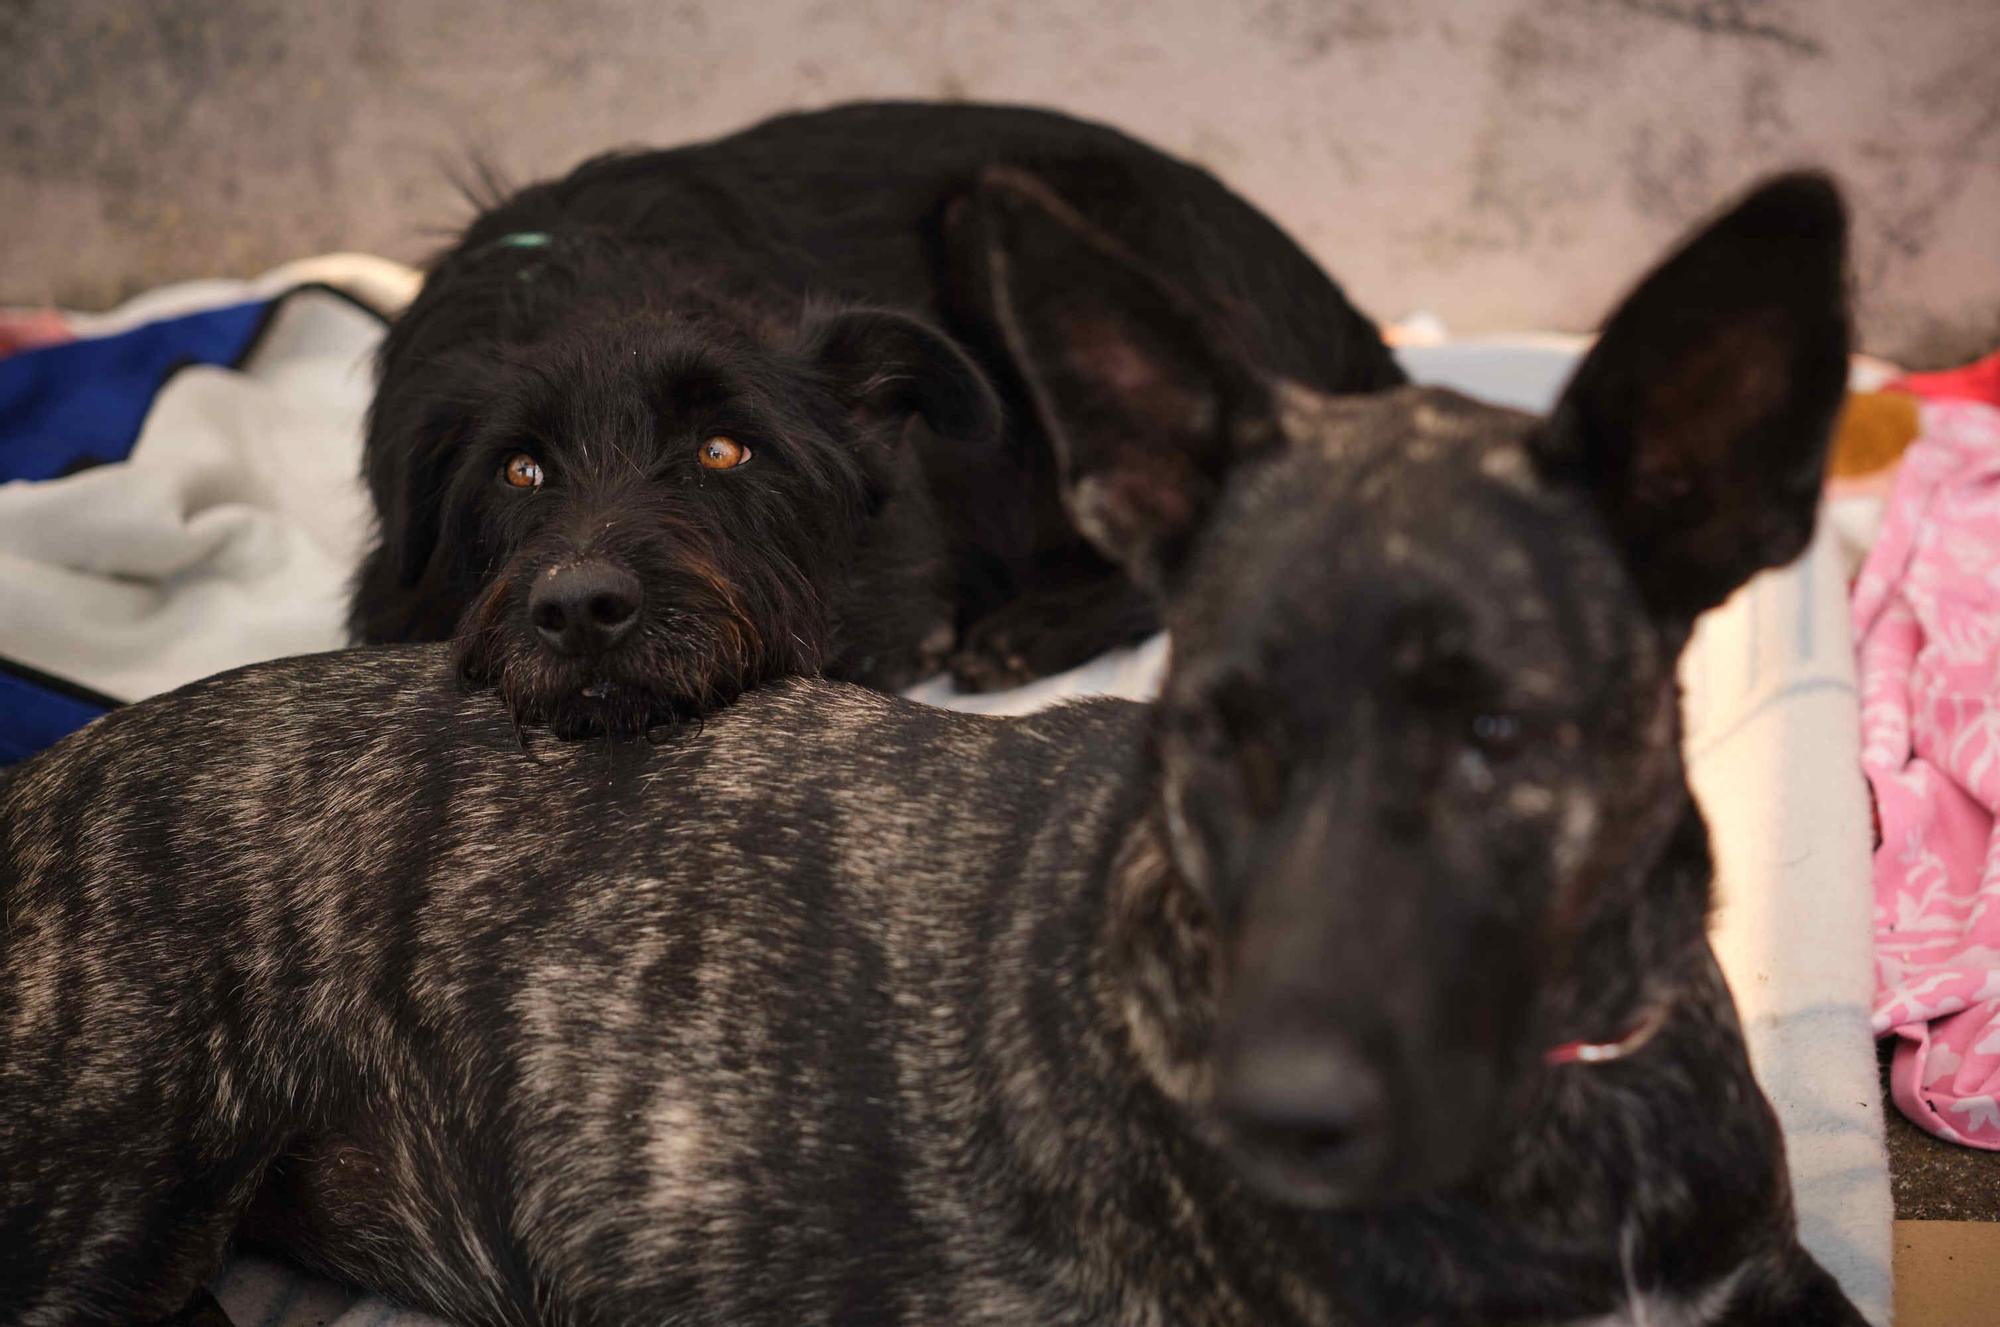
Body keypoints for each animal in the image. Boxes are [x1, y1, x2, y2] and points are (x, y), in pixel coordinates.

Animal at [348, 102, 1408, 731]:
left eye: (723, 450)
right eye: (518, 469)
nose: (581, 610)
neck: (595, 291)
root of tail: (1356, 322)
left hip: (1007, 219)